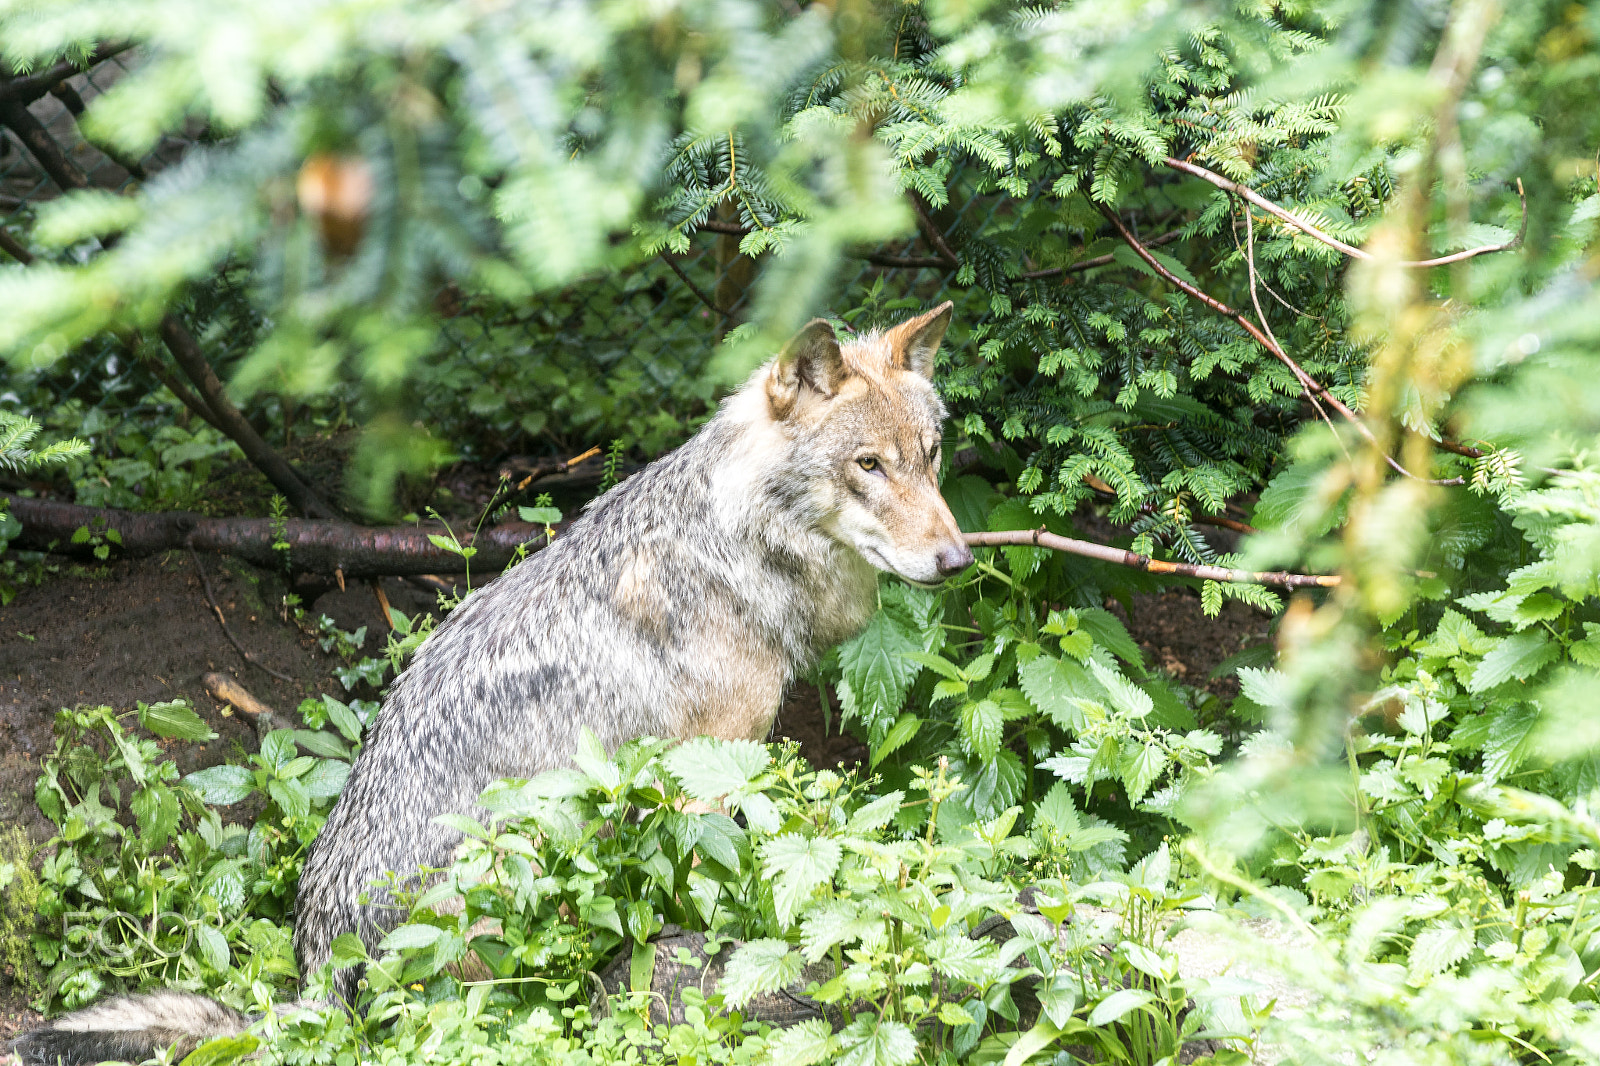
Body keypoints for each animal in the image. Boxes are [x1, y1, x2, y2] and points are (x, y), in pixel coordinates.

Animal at [11, 302, 972, 1064]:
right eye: (868, 466)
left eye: (929, 457)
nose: (959, 560)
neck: (740, 542)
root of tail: (320, 976)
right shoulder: (708, 775)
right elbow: (721, 885)